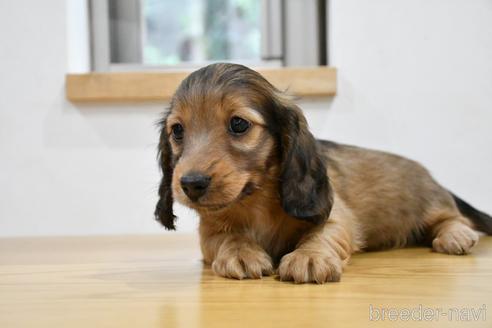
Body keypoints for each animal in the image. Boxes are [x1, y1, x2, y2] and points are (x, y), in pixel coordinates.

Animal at [156, 62, 492, 284]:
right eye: (177, 130)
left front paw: (309, 256)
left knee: (453, 218)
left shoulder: (335, 215)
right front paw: (241, 251)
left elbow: (323, 233)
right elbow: (227, 237)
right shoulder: (209, 233)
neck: (255, 201)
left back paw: (456, 235)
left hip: (431, 205)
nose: (191, 184)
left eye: (239, 124)